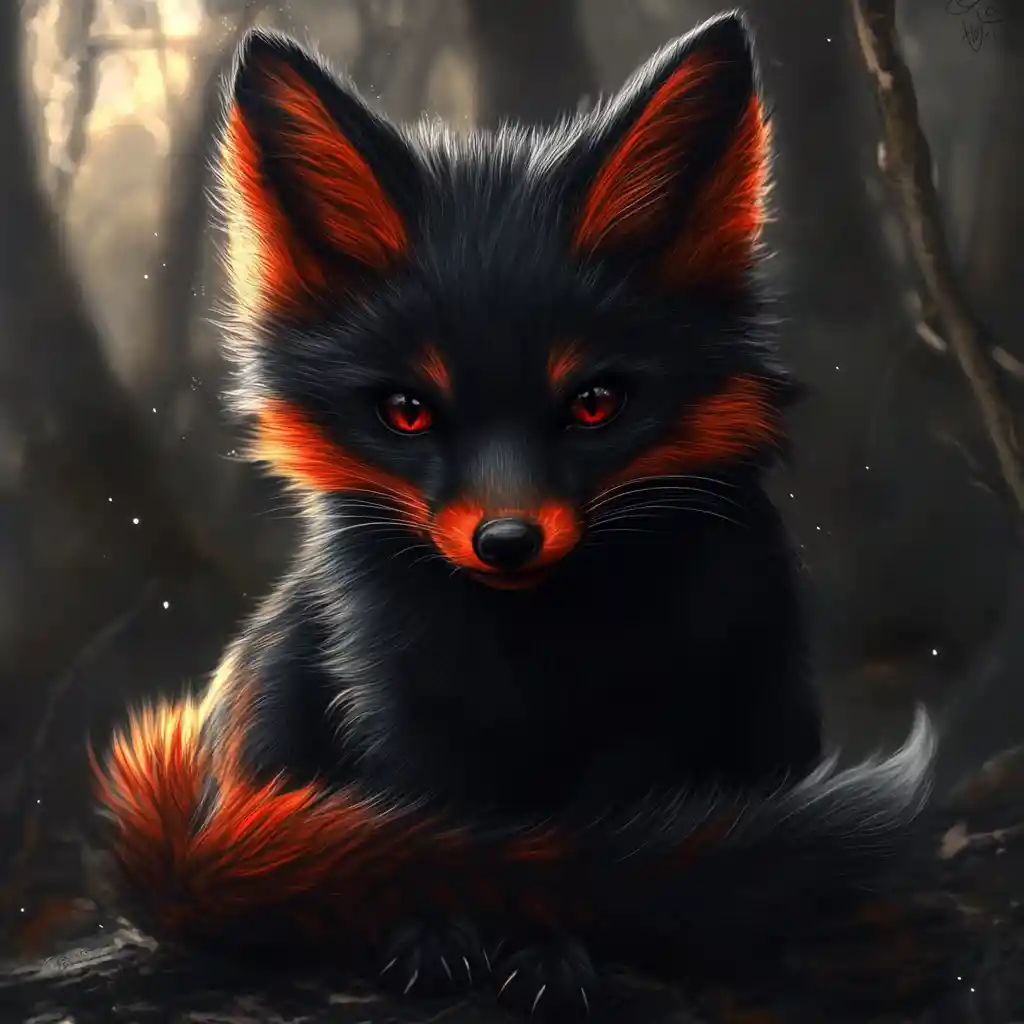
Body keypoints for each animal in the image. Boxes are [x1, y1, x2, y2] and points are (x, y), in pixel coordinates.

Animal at [94, 10, 955, 1019]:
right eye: (407, 411)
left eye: (594, 404)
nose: (506, 542)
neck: (530, 653)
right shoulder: (395, 697)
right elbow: (433, 833)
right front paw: (434, 936)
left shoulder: (657, 704)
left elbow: (589, 849)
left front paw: (552, 951)